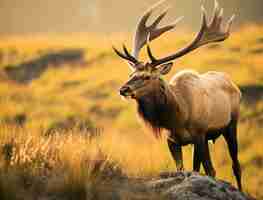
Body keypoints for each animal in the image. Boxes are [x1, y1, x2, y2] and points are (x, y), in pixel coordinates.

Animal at [113, 0, 243, 191]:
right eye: (131, 74)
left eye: (147, 76)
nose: (123, 89)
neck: (178, 116)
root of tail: (234, 85)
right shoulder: (172, 140)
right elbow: (182, 169)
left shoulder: (200, 134)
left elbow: (211, 170)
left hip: (231, 125)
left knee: (236, 165)